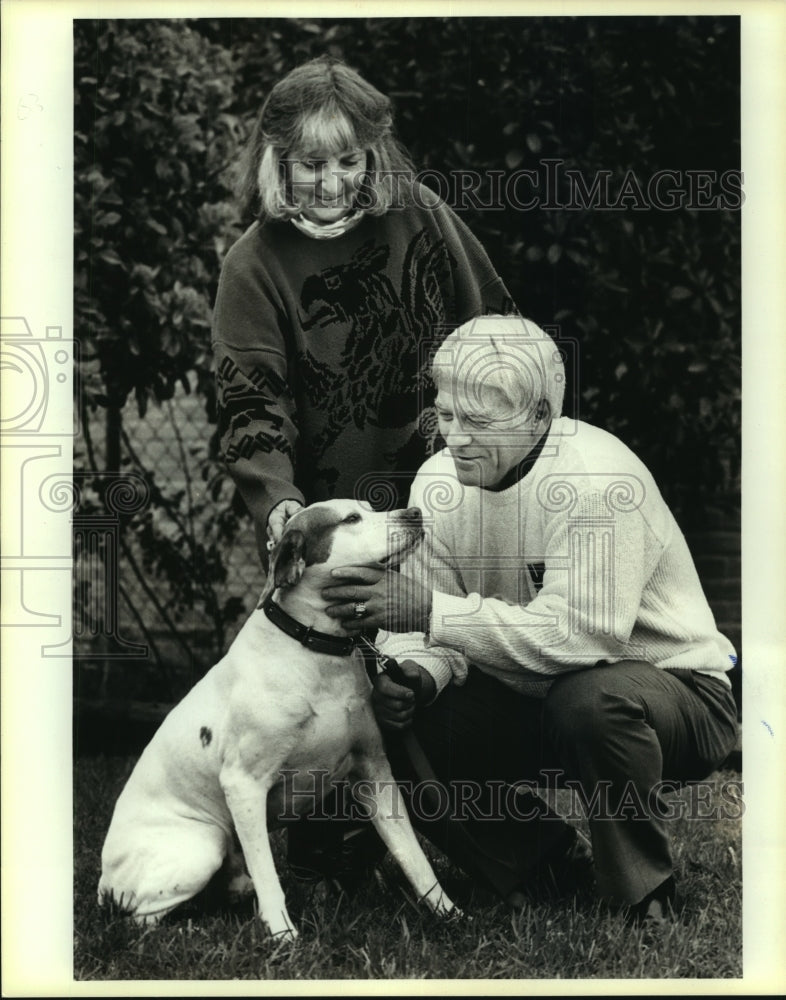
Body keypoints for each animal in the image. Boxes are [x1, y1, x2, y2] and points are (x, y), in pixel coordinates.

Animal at [98, 498, 456, 936]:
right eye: (351, 519)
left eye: (369, 507)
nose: (414, 513)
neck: (318, 649)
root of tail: (103, 880)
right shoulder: (244, 786)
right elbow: (269, 873)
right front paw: (283, 934)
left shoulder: (374, 773)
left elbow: (413, 857)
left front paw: (450, 913)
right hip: (203, 848)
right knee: (140, 919)